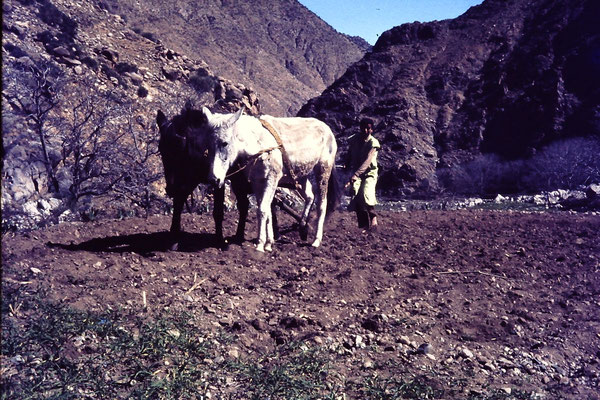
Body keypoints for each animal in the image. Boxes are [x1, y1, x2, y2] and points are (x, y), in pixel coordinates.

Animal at [203, 108, 340, 252]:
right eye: (208, 146)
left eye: (225, 143)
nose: (214, 179)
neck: (258, 144)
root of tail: (327, 128)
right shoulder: (258, 182)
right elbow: (267, 210)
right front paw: (269, 243)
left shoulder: (271, 180)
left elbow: (262, 210)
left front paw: (260, 244)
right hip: (301, 176)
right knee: (309, 197)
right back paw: (303, 228)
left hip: (323, 171)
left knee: (321, 204)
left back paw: (316, 240)